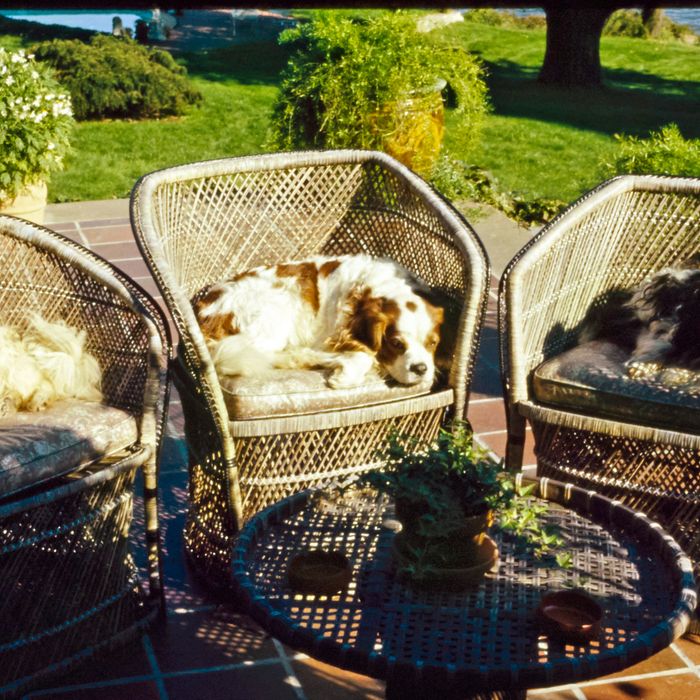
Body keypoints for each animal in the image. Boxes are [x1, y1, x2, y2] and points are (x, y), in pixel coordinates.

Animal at [193, 254, 442, 388]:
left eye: (433, 343)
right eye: (396, 344)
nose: (421, 369)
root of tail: (202, 312)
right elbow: (365, 355)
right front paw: (347, 373)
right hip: (276, 311)